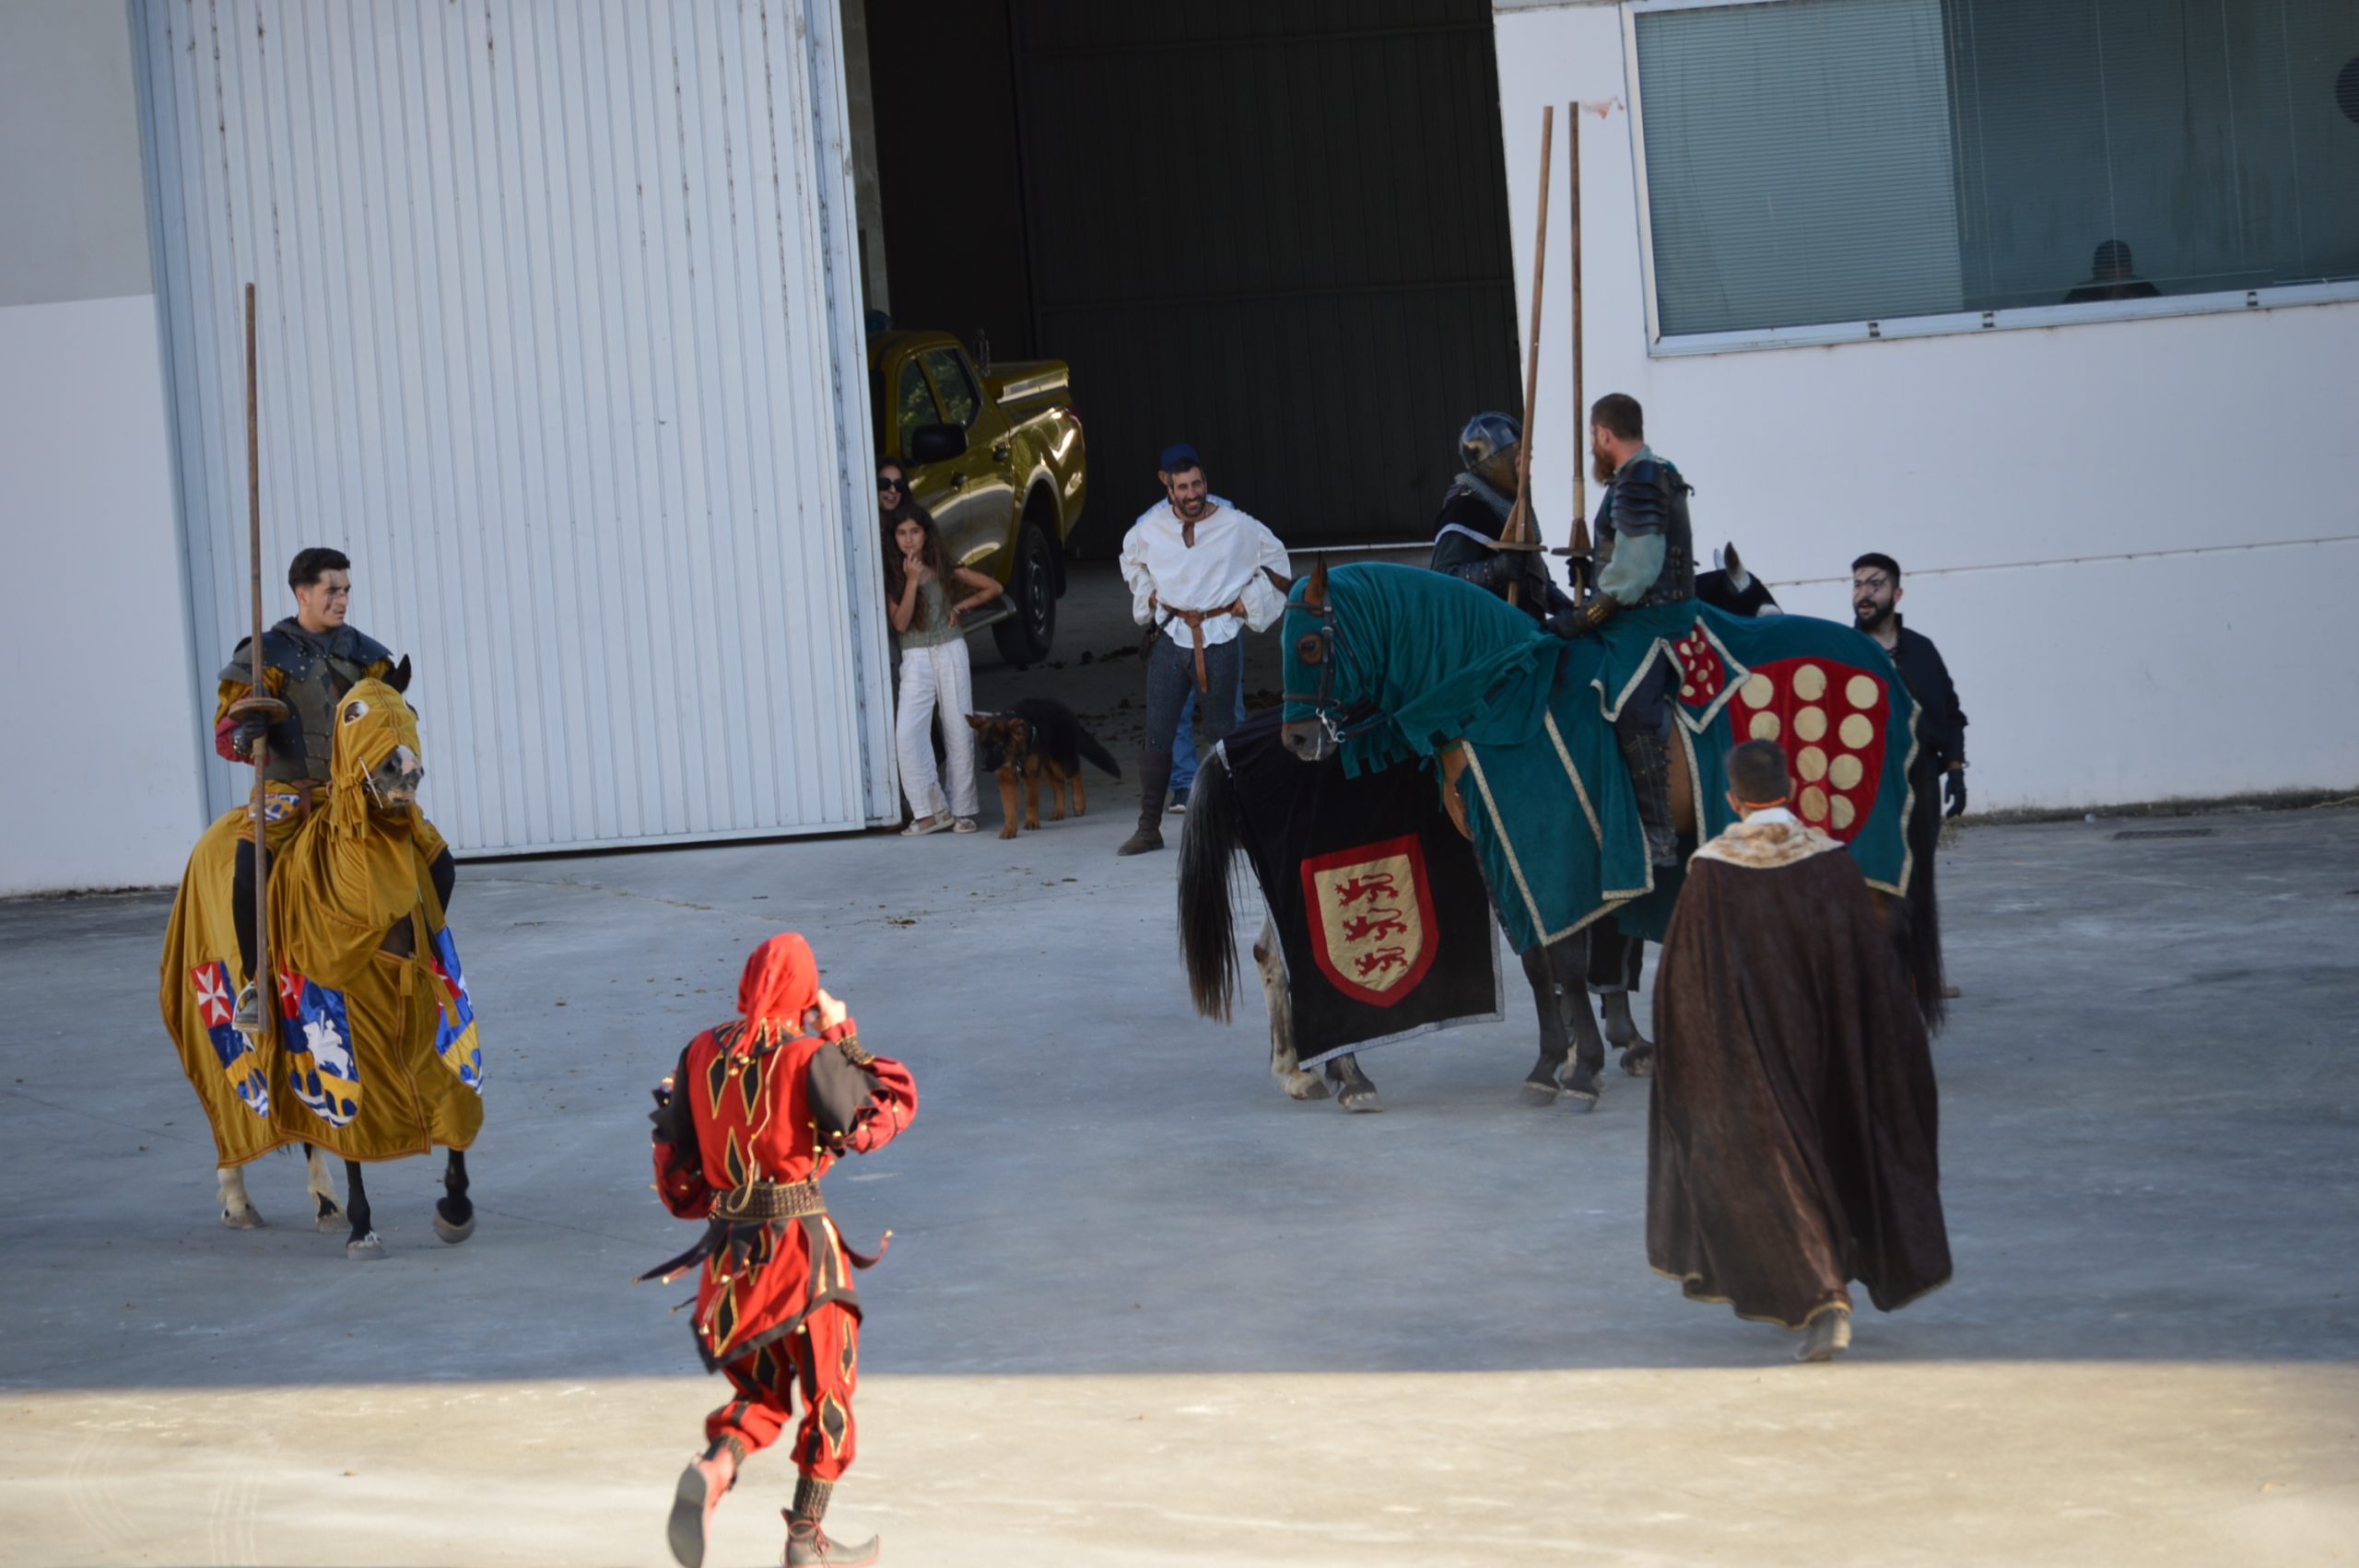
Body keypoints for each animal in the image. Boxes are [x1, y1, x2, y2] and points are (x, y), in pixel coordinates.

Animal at [971, 702, 1127, 839]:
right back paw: (1059, 811)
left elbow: (1031, 801)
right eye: (982, 747)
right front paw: (1010, 829)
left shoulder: (1030, 775)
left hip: (1060, 761)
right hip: (1044, 769)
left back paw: (1079, 803)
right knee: (1059, 783)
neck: (1014, 752)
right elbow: (1009, 808)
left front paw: (1032, 822)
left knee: (1075, 773)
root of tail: (1064, 709)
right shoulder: (1007, 779)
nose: (982, 768)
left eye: (996, 746)